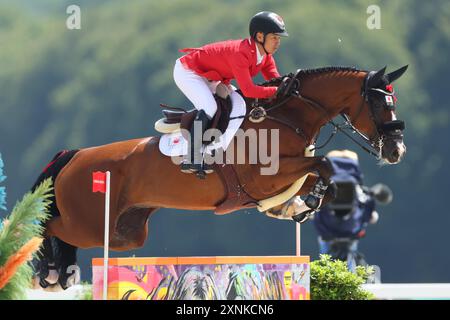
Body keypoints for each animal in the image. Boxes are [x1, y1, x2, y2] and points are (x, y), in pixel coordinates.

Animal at [29, 65, 408, 290]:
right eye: (381, 105)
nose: (397, 151)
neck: (286, 117)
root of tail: (76, 155)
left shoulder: (286, 173)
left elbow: (318, 174)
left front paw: (296, 206)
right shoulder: (263, 178)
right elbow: (323, 164)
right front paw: (304, 202)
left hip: (125, 234)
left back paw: (55, 271)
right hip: (91, 225)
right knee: (48, 227)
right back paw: (46, 269)